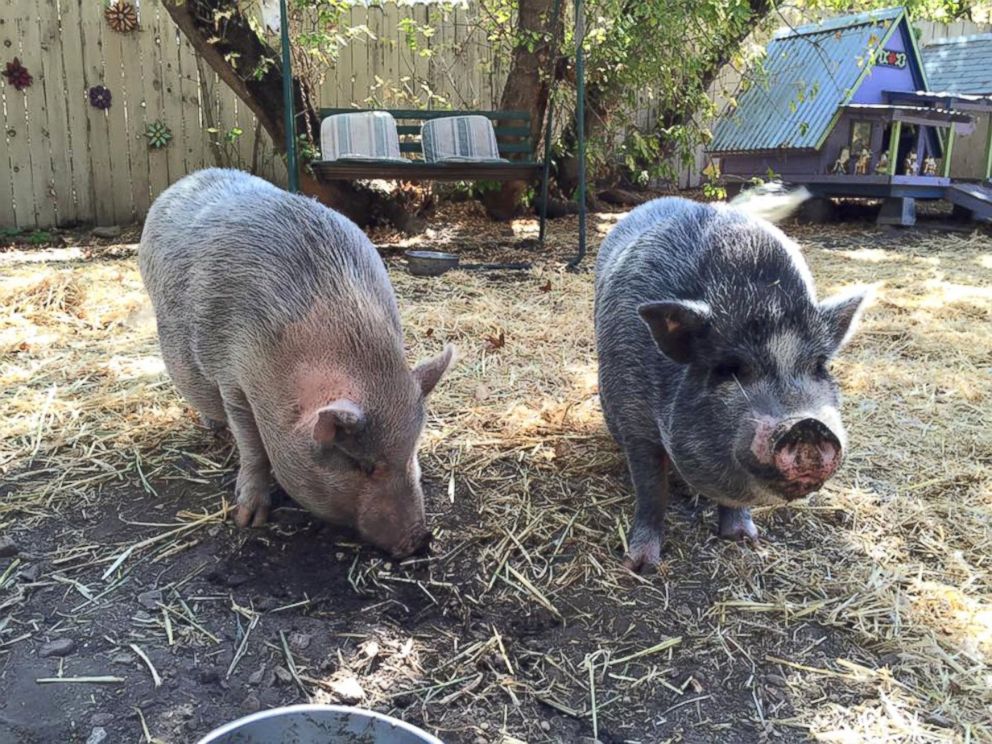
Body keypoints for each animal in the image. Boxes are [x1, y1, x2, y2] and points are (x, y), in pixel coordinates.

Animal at [140, 169, 458, 560]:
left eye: (412, 452)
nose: (421, 540)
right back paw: (212, 428)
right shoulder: (232, 383)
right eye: (364, 465)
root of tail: (185, 180)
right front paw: (248, 520)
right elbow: (253, 449)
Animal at [596, 192, 868, 568]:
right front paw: (641, 565)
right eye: (729, 369)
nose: (807, 425)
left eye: (819, 366)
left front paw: (745, 540)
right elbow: (651, 491)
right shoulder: (635, 418)